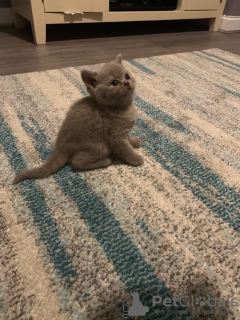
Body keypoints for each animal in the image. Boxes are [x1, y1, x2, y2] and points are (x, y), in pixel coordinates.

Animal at [13, 53, 143, 184]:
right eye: (114, 83)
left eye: (127, 76)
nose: (126, 82)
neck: (123, 108)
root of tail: (60, 147)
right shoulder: (116, 136)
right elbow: (125, 149)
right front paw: (136, 158)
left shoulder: (124, 131)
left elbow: (129, 138)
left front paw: (135, 142)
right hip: (100, 146)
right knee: (76, 162)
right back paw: (105, 161)